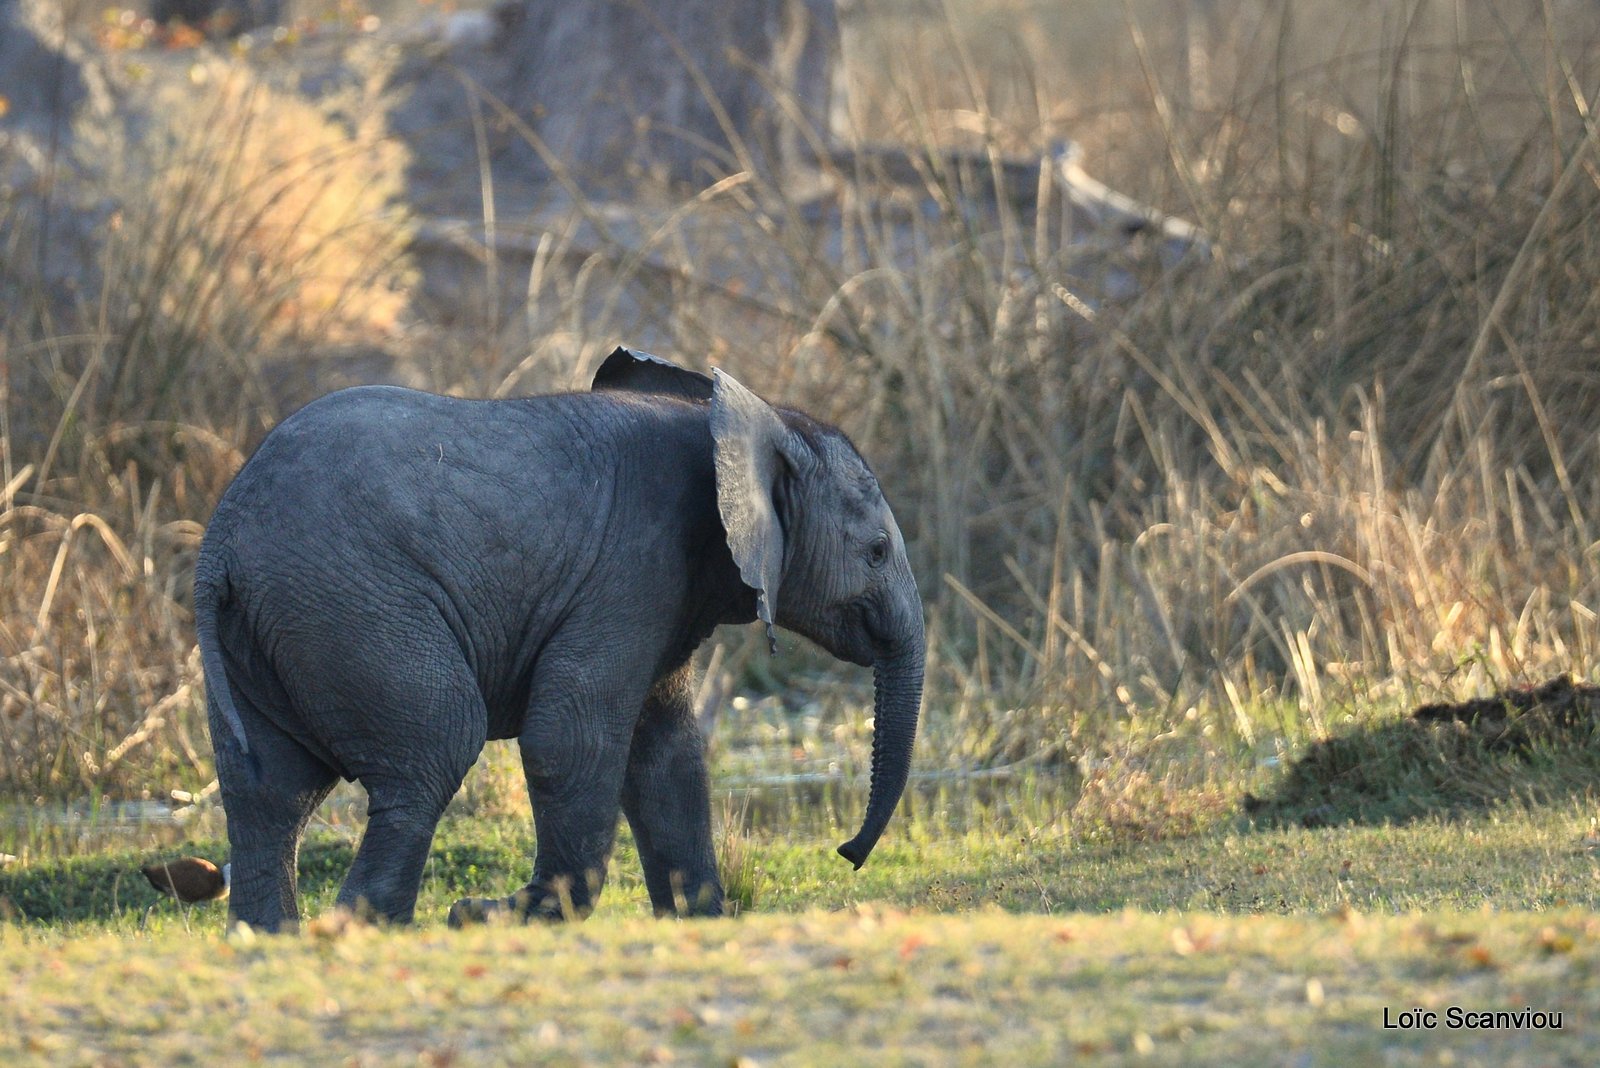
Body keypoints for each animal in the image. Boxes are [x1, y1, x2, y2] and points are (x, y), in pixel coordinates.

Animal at [193, 348, 928, 927]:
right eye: (876, 552)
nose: (847, 854)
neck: (735, 424)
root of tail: (221, 539)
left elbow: (666, 756)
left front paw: (702, 921)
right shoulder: (628, 571)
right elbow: (570, 739)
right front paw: (507, 917)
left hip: (270, 628)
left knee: (268, 790)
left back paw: (273, 940)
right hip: (353, 606)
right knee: (433, 750)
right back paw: (370, 928)